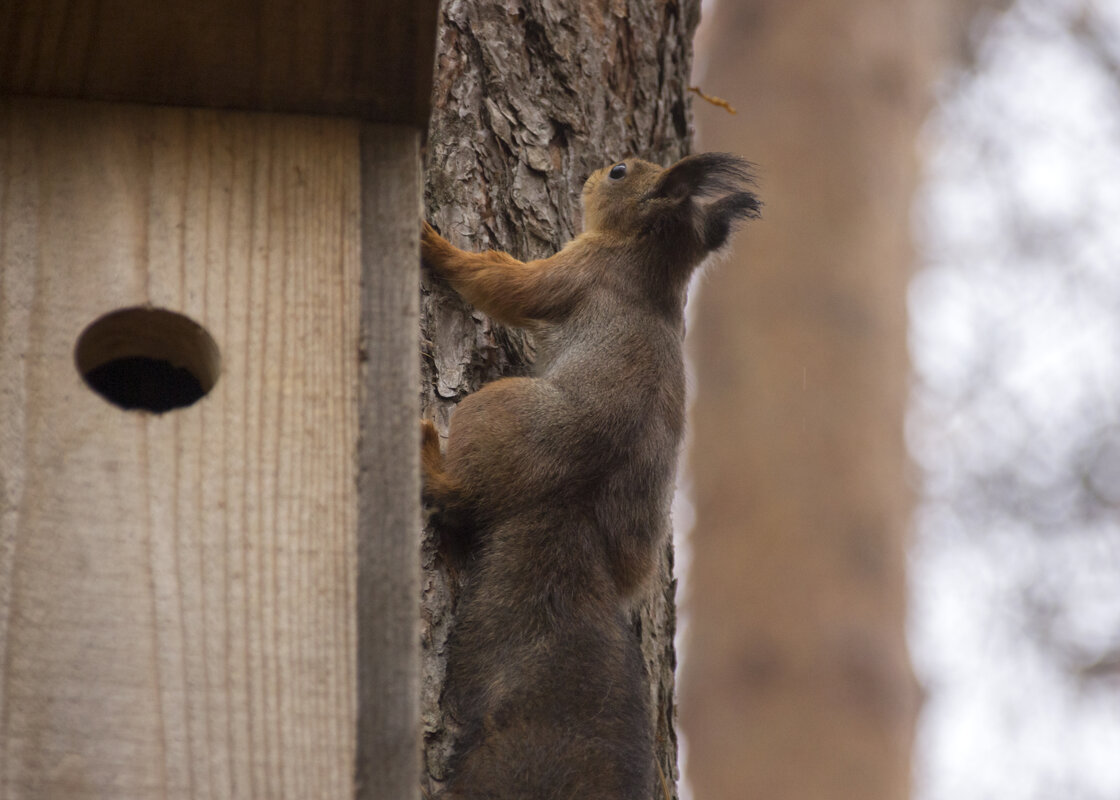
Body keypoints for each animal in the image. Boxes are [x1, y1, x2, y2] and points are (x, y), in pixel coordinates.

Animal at [421, 152, 761, 793]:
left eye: (621, 173)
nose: (594, 170)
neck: (648, 266)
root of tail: (568, 506)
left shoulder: (576, 270)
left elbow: (504, 283)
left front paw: (433, 246)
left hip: (496, 407)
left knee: (458, 500)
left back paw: (431, 458)